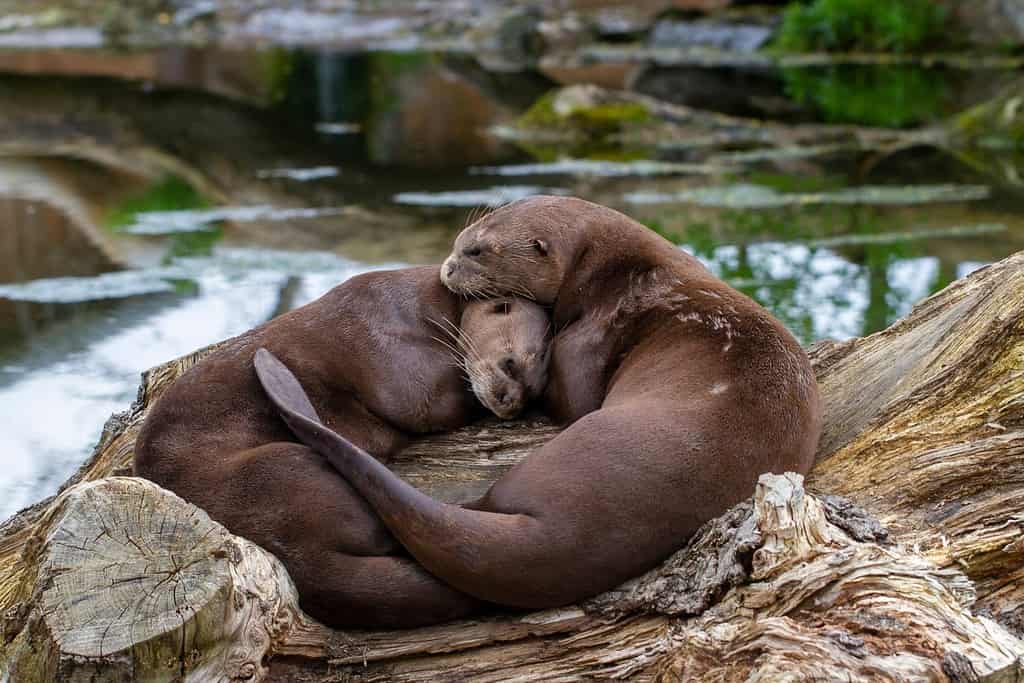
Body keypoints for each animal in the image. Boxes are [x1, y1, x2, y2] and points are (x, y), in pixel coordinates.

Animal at [137, 264, 557, 626]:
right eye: (510, 364)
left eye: (535, 385)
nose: (511, 400)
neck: (423, 306)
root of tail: (298, 556)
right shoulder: (383, 342)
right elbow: (425, 400)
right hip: (281, 463)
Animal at [258, 194, 823, 610]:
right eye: (460, 241)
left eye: (478, 251)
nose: (446, 268)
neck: (618, 273)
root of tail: (573, 534)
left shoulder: (588, 338)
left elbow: (570, 397)